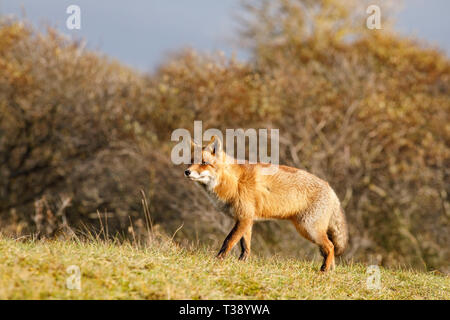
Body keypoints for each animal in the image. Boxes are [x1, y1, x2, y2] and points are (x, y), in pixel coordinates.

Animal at [185, 136, 346, 272]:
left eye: (203, 163)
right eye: (190, 162)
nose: (187, 172)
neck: (234, 182)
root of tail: (331, 189)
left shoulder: (244, 218)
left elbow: (228, 241)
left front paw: (217, 260)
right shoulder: (246, 219)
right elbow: (245, 246)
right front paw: (242, 263)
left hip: (309, 228)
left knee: (330, 246)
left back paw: (324, 271)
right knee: (328, 249)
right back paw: (331, 271)